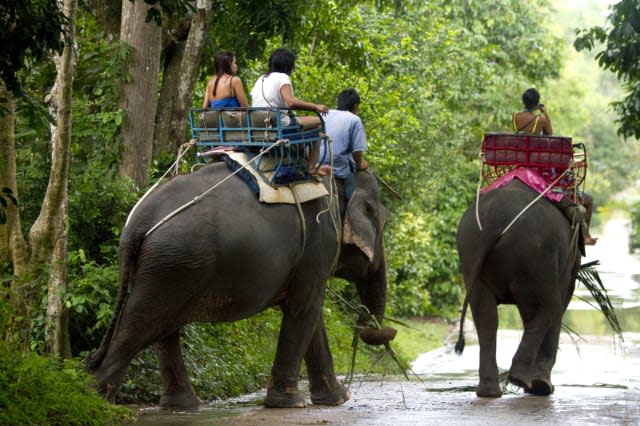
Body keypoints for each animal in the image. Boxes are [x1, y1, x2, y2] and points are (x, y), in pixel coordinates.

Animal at [85, 163, 390, 410]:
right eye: (382, 224)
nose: (378, 330)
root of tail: (137, 223)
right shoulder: (318, 243)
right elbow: (304, 308)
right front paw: (294, 404)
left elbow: (309, 315)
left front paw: (338, 399)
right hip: (173, 264)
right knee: (141, 327)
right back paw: (97, 405)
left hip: (164, 267)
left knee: (161, 329)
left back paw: (182, 407)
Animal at [452, 179, 584, 396]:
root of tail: (494, 222)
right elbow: (560, 301)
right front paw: (543, 386)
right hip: (534, 255)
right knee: (549, 308)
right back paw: (528, 383)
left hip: (470, 250)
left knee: (486, 318)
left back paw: (490, 392)